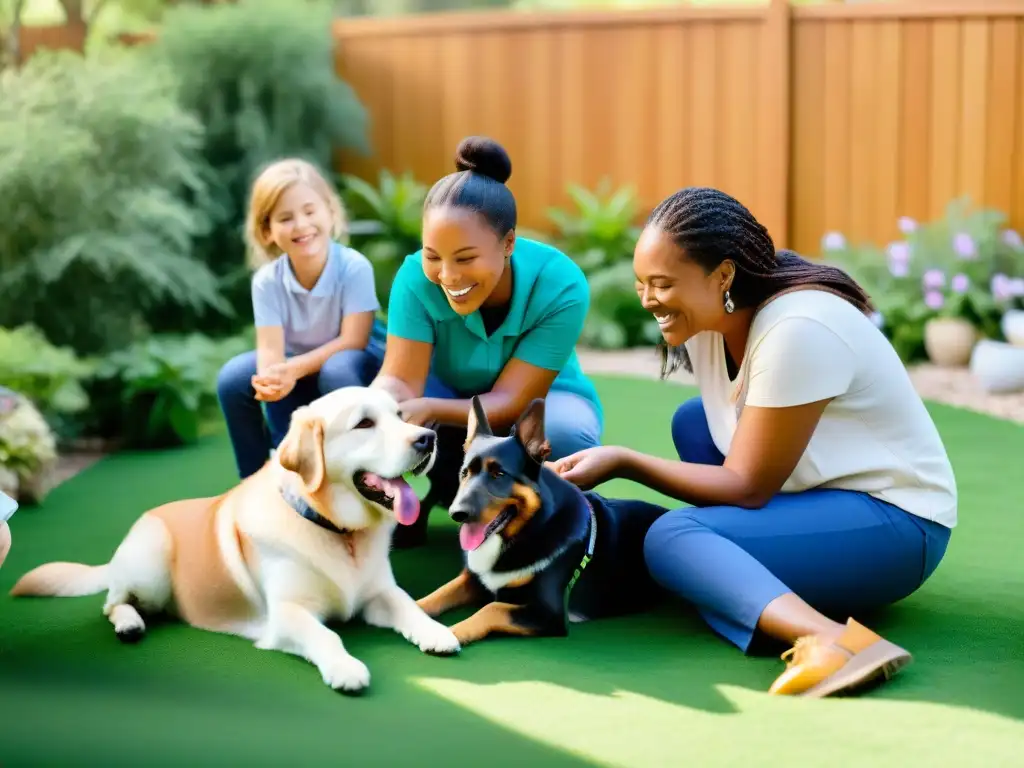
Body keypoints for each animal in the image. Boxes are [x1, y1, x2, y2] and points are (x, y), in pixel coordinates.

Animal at [11, 387, 460, 696]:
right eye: (364, 424)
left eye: (400, 415)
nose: (427, 438)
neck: (336, 529)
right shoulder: (288, 614)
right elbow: (325, 635)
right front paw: (345, 668)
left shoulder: (378, 593)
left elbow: (408, 606)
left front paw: (435, 632)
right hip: (150, 562)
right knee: (112, 603)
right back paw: (129, 623)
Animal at [417, 393, 671, 647]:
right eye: (464, 473)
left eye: (499, 474)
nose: (457, 513)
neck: (528, 529)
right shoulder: (474, 580)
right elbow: (438, 594)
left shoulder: (549, 613)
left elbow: (492, 608)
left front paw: (448, 634)